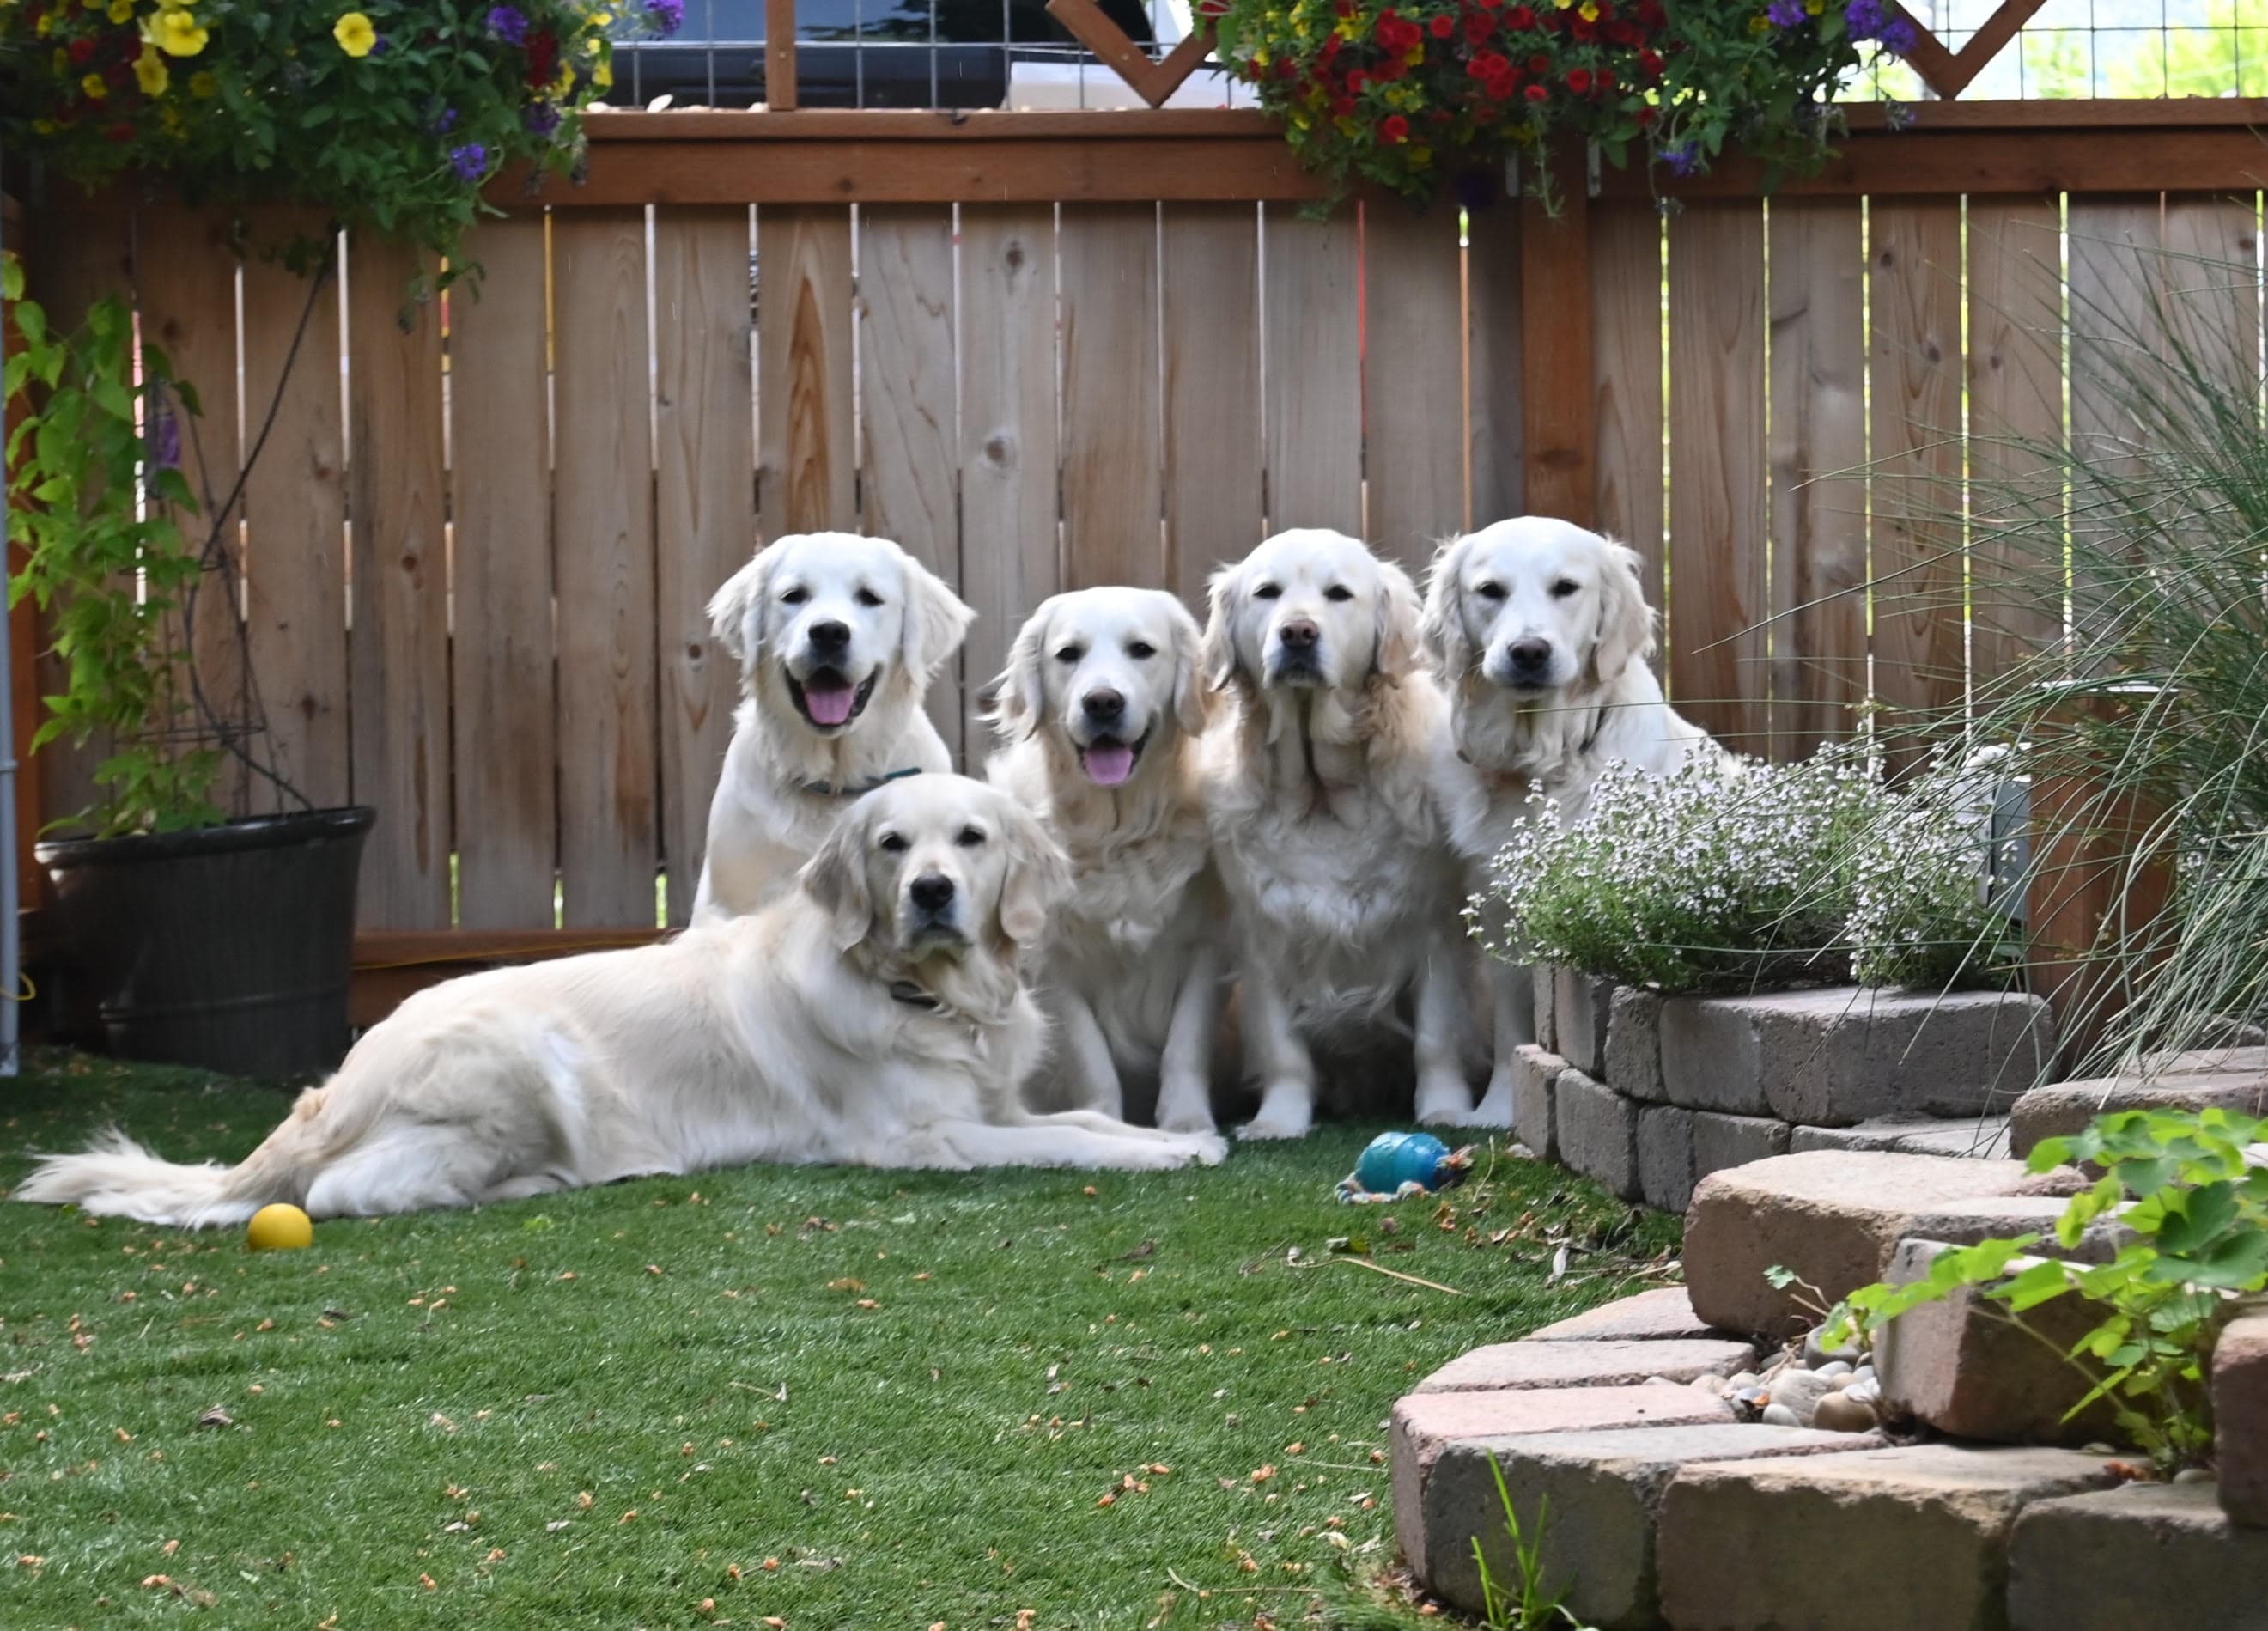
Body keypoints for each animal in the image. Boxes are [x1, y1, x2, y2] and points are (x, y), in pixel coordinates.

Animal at [988, 585, 1233, 1134]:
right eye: (1068, 654)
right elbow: (1090, 1057)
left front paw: (1187, 1122)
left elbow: (1185, 1045)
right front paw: (1104, 1121)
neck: (1117, 833)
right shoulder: (1051, 963)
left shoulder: (1206, 947)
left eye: (1141, 650)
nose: (1102, 702)